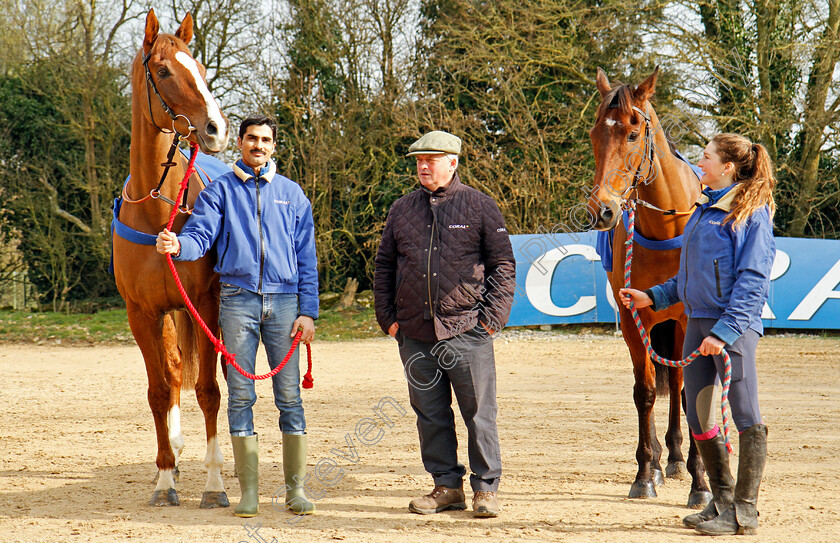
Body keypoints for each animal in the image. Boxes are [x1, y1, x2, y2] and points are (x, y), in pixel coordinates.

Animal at [588, 68, 712, 510]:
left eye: (632, 133)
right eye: (595, 133)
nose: (602, 209)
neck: (666, 228)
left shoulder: (693, 317)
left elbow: (692, 391)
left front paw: (701, 482)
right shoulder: (631, 316)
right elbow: (644, 391)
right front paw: (644, 472)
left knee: (676, 384)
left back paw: (678, 458)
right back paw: (662, 460)